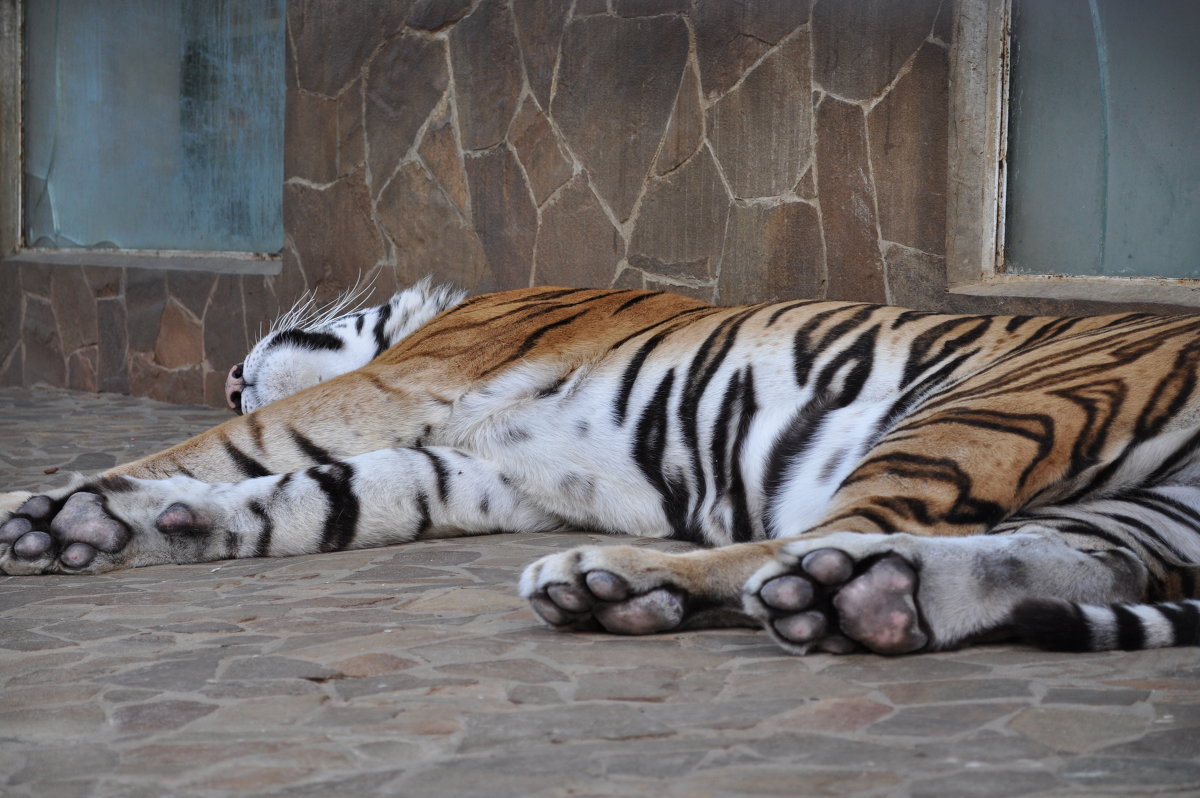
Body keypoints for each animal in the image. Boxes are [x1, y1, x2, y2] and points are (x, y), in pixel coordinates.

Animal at [2, 279, 1200, 652]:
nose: (223, 373)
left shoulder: (411, 384)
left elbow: (235, 449)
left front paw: (37, 505)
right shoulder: (476, 475)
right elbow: (305, 494)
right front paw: (92, 527)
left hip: (996, 404)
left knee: (821, 539)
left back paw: (617, 581)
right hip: (1134, 512)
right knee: (1046, 564)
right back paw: (856, 603)